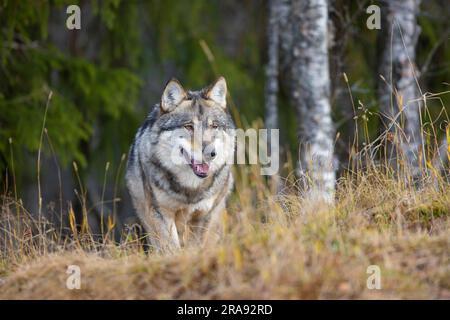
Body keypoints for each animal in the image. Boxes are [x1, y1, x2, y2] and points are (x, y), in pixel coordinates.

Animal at [124, 77, 234, 252]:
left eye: (214, 126)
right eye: (189, 126)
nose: (211, 153)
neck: (190, 189)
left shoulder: (203, 216)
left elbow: (195, 248)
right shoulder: (162, 213)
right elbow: (172, 248)